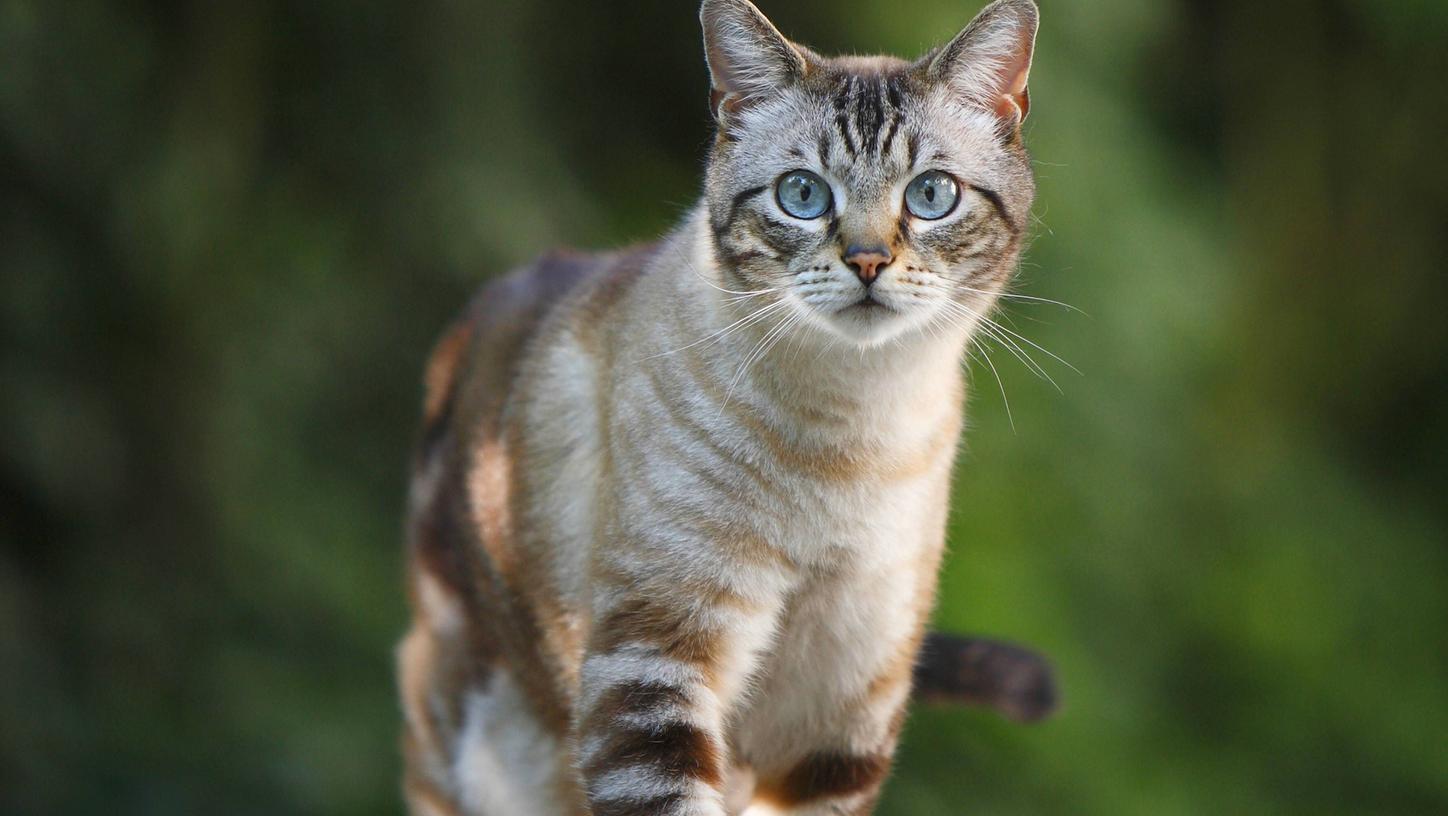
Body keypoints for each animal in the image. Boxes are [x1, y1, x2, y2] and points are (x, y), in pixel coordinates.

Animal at [402, 0, 1048, 810]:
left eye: (931, 195)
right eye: (802, 195)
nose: (868, 261)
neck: (851, 439)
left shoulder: (841, 724)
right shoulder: (655, 667)